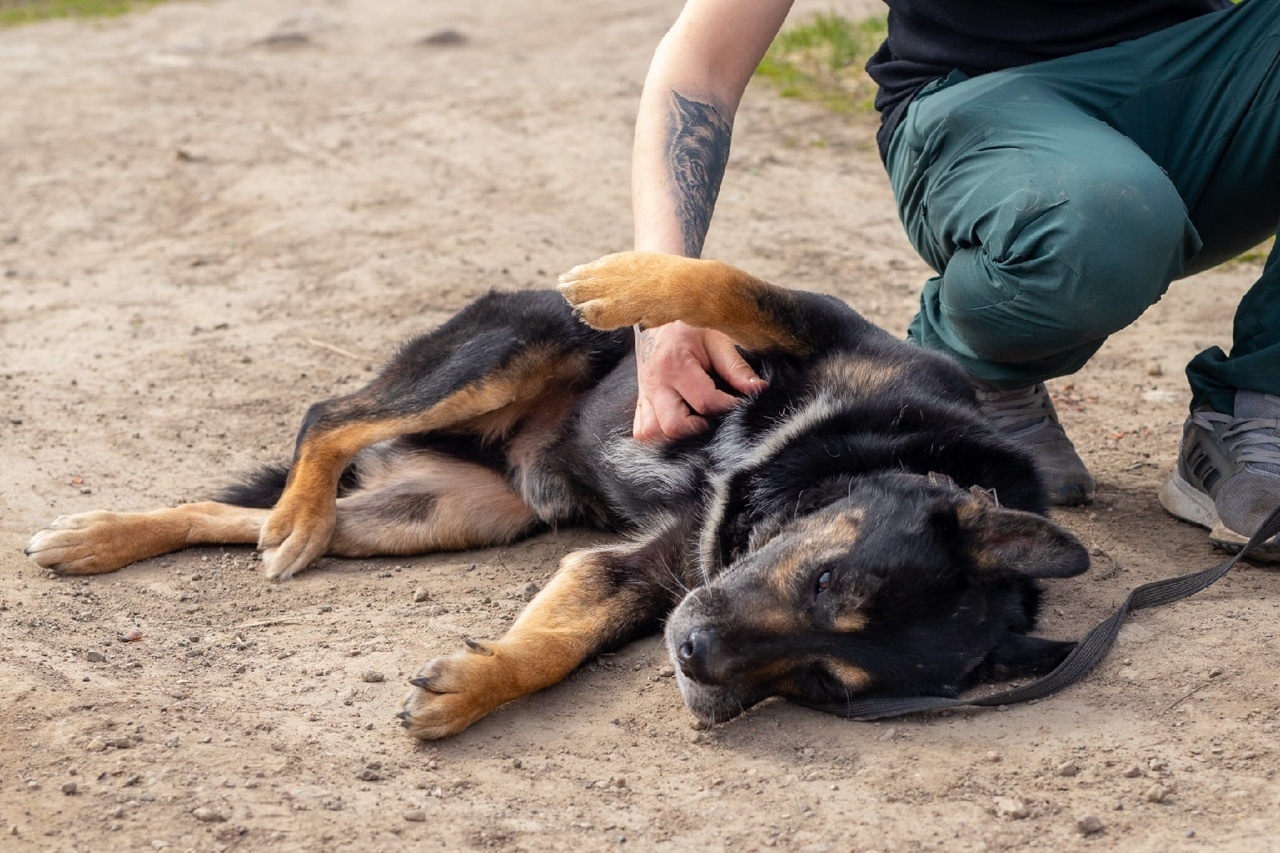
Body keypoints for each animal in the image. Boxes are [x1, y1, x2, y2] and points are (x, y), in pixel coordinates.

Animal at [24, 249, 1090, 732]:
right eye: (831, 584)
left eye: (822, 682)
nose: (698, 664)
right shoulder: (817, 330)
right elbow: (725, 283)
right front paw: (633, 280)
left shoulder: (648, 572)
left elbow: (554, 645)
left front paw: (473, 686)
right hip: (509, 350)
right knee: (326, 416)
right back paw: (287, 516)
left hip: (448, 513)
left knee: (241, 505)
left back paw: (117, 534)